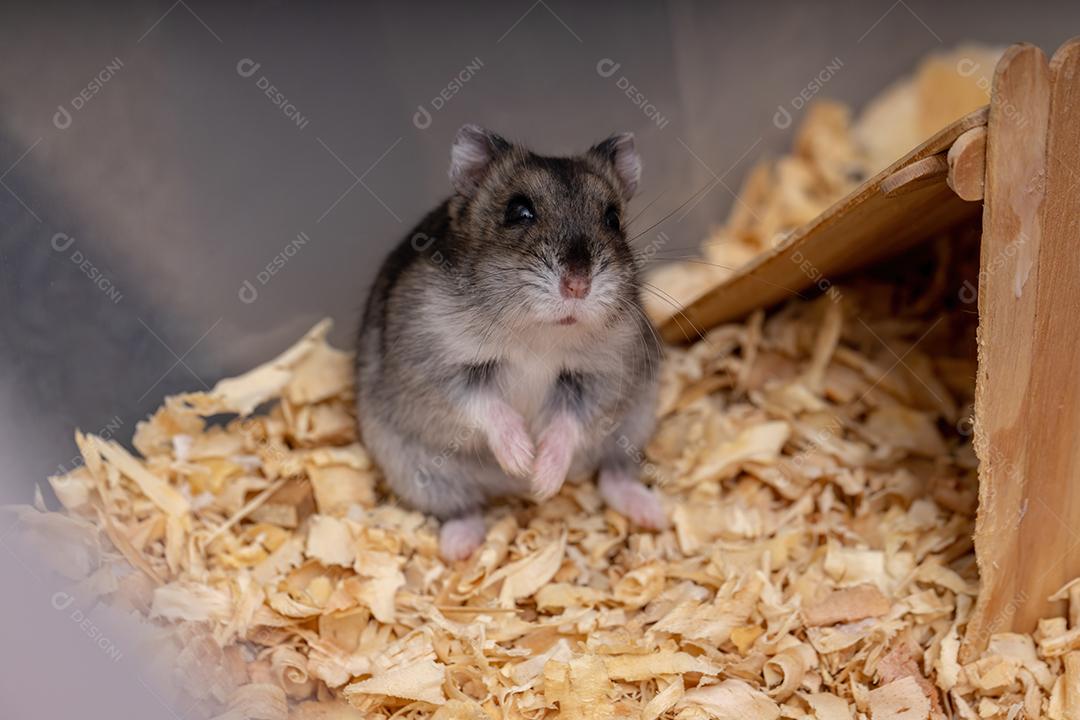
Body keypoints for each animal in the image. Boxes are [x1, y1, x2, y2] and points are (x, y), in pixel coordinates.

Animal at [356, 125, 665, 561]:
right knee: (464, 508)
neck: (538, 331)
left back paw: (652, 514)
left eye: (613, 218)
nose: (578, 286)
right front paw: (522, 459)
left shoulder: (602, 374)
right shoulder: (436, 368)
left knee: (612, 476)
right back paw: (461, 544)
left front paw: (543, 478)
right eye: (518, 212)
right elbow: (485, 406)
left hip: (633, 427)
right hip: (418, 471)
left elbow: (569, 420)